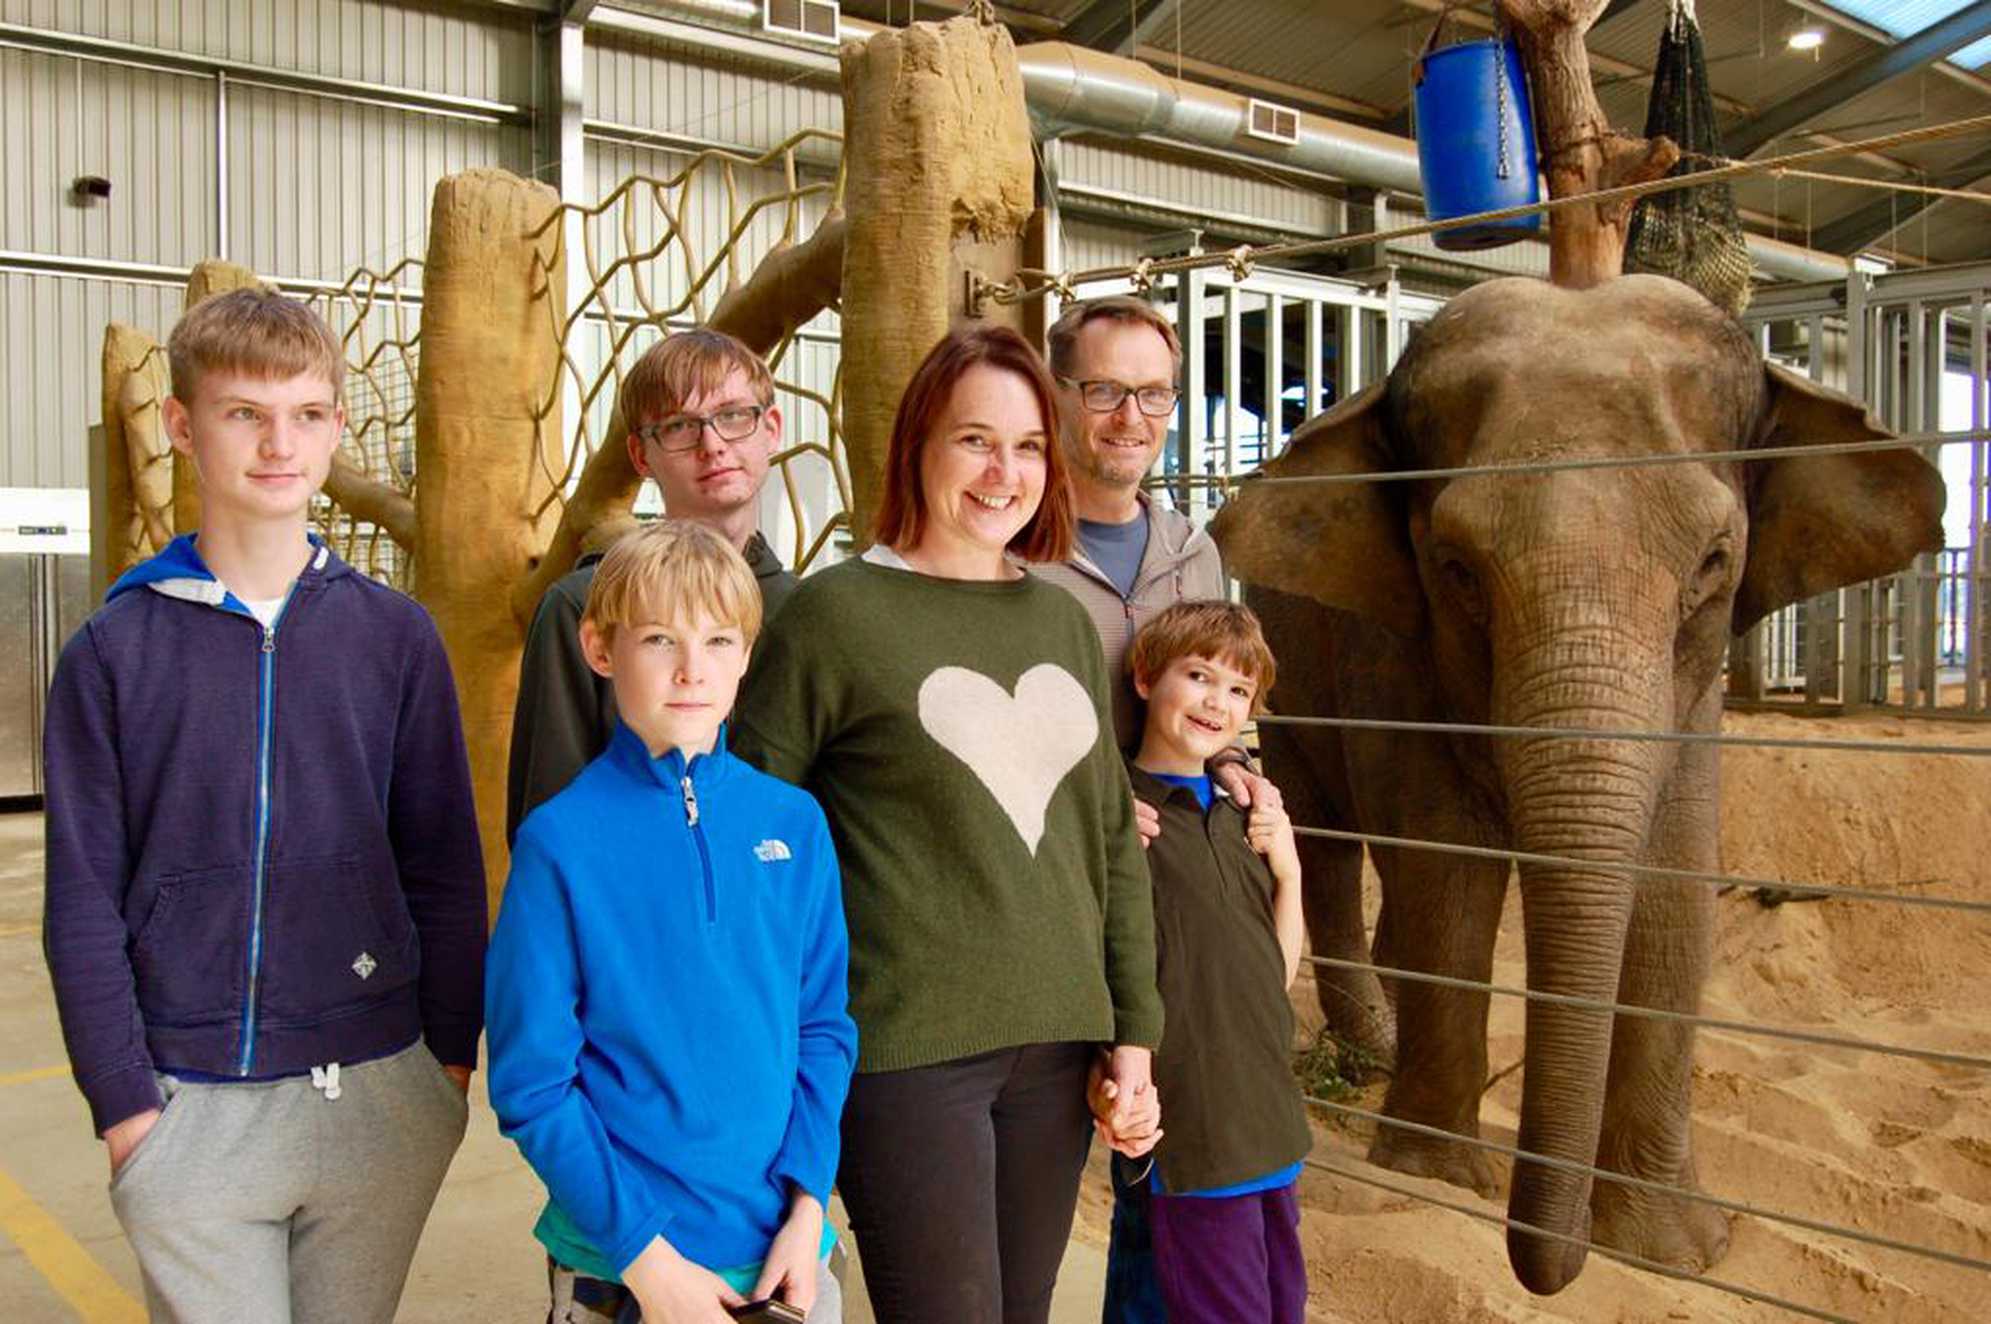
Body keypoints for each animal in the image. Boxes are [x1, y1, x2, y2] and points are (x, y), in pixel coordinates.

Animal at [1210, 272, 1943, 1298]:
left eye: (1713, 561)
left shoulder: (1693, 695)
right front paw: (1438, 1177)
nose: (1555, 1263)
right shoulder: (1391, 650)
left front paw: (1673, 1250)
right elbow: (1450, 869)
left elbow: (1675, 880)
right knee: (1326, 843)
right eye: (1455, 568)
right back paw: (1368, 1052)